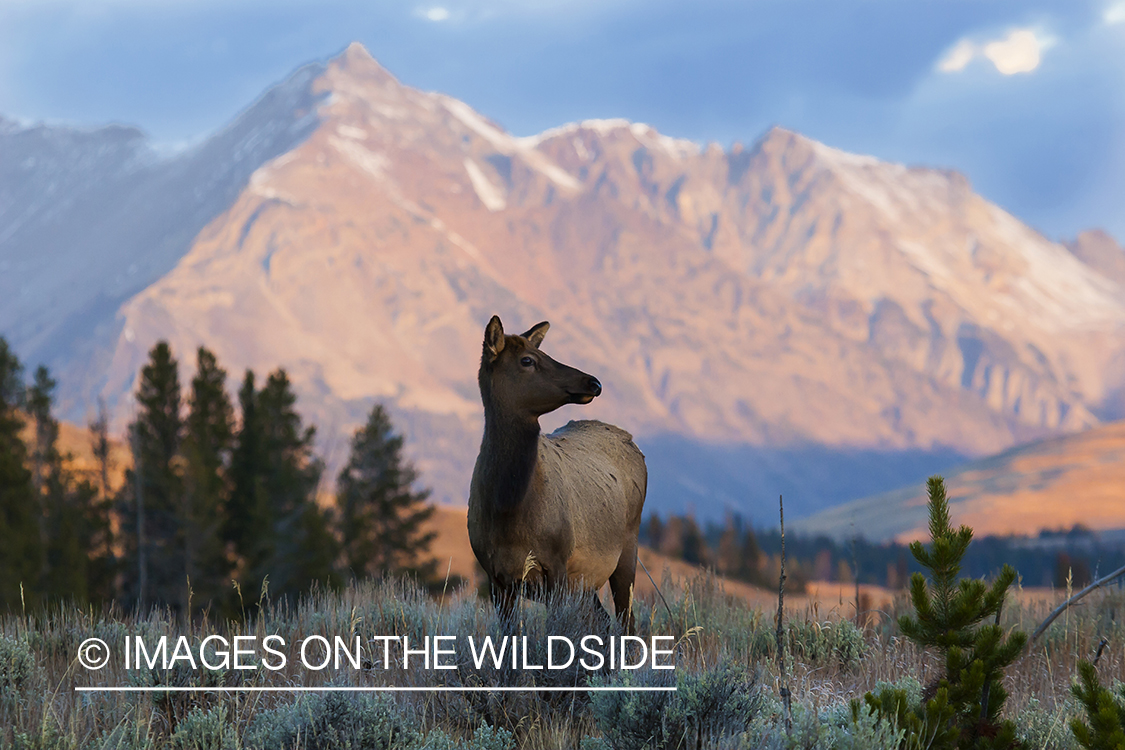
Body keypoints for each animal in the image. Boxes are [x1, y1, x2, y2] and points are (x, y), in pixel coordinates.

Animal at [467, 315, 648, 633]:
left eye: (543, 352)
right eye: (527, 360)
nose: (594, 382)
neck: (507, 510)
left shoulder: (558, 563)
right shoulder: (495, 575)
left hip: (629, 546)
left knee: (627, 621)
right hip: (586, 583)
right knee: (604, 621)